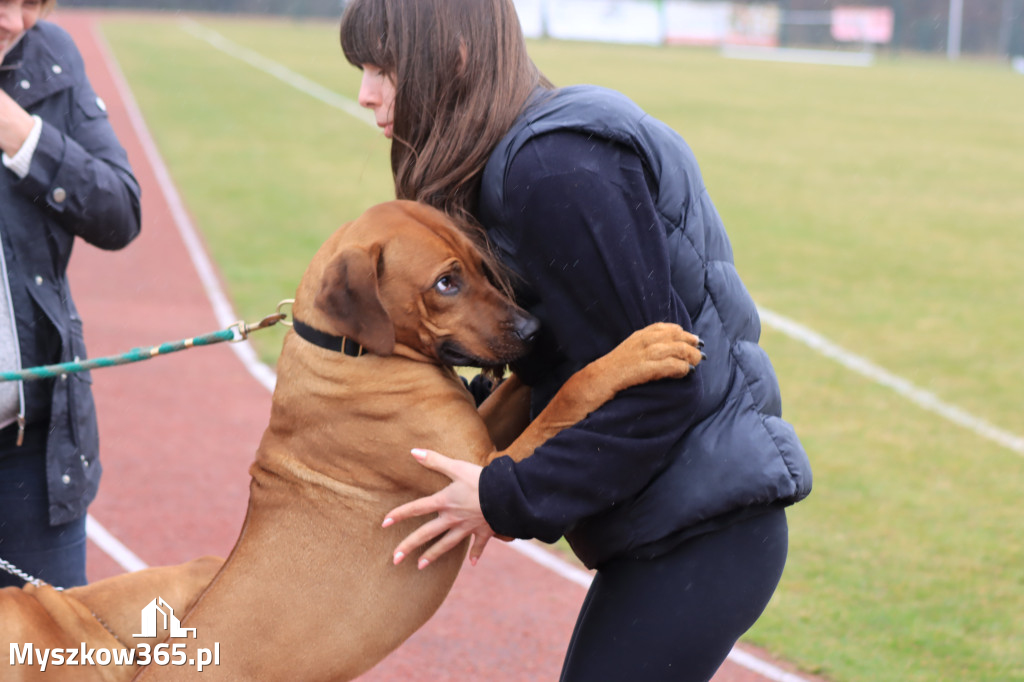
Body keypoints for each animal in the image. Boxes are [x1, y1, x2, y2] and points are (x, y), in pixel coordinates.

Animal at [0, 199, 700, 675]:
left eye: (481, 267)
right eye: (446, 282)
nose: (532, 331)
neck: (353, 349)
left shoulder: (476, 436)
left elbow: (529, 392)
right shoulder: (477, 471)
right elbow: (572, 393)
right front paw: (638, 351)